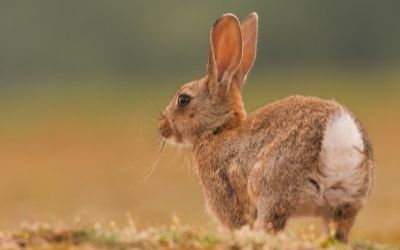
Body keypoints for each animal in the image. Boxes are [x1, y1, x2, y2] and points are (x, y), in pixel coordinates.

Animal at [158, 12, 374, 243]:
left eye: (183, 99)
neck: (218, 129)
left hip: (270, 189)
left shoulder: (226, 193)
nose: (162, 127)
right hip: (347, 201)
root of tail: (337, 133)